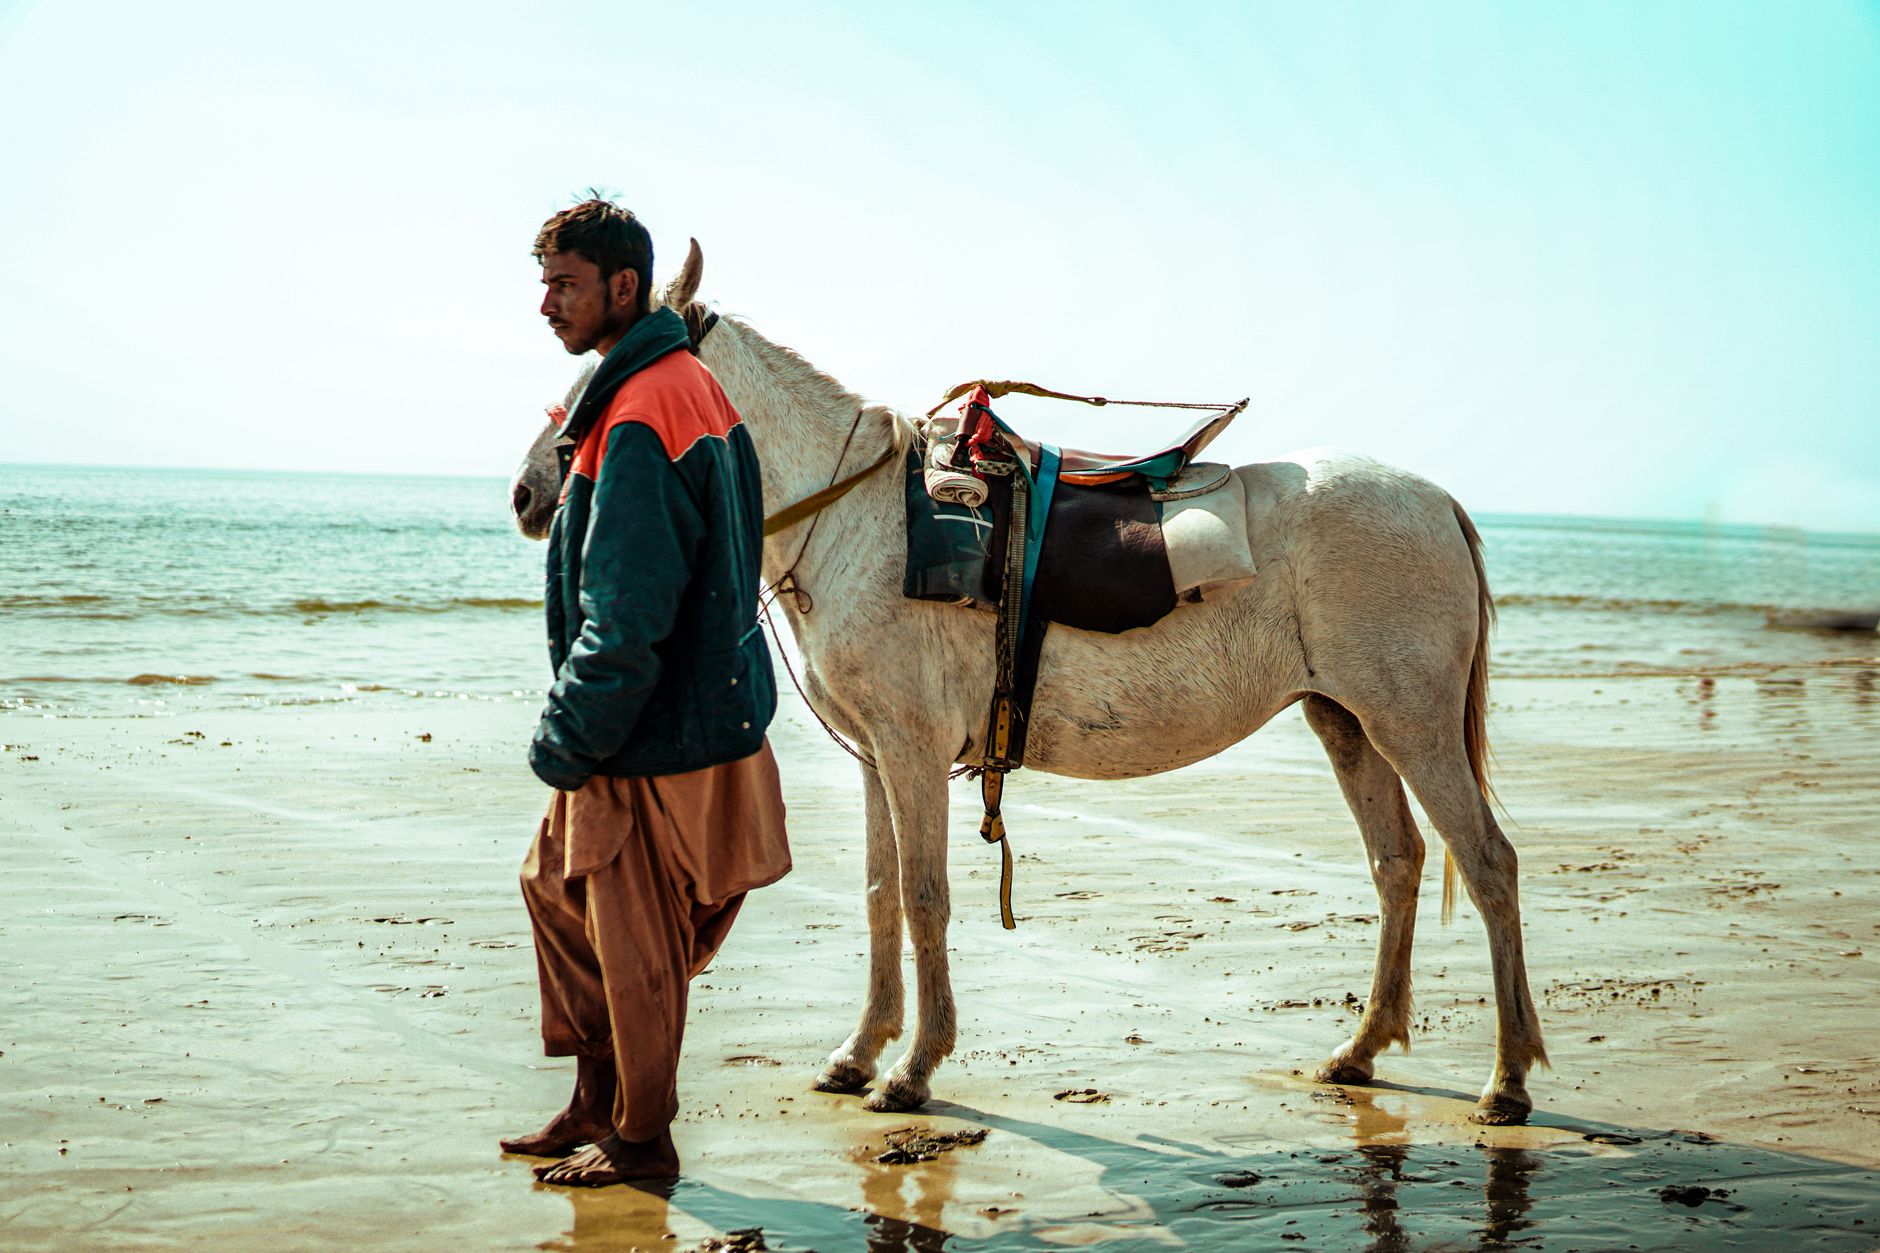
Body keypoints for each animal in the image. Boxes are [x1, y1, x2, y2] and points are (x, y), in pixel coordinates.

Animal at [510, 242, 1548, 1126]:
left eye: (614, 374)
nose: (527, 492)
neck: (858, 521)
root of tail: (1440, 502)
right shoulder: (875, 757)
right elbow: (882, 893)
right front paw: (860, 1051)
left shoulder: (914, 749)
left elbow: (924, 894)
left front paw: (913, 1068)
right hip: (1346, 720)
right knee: (1398, 862)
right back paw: (1362, 1049)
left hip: (1410, 722)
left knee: (1488, 863)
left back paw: (1507, 1079)